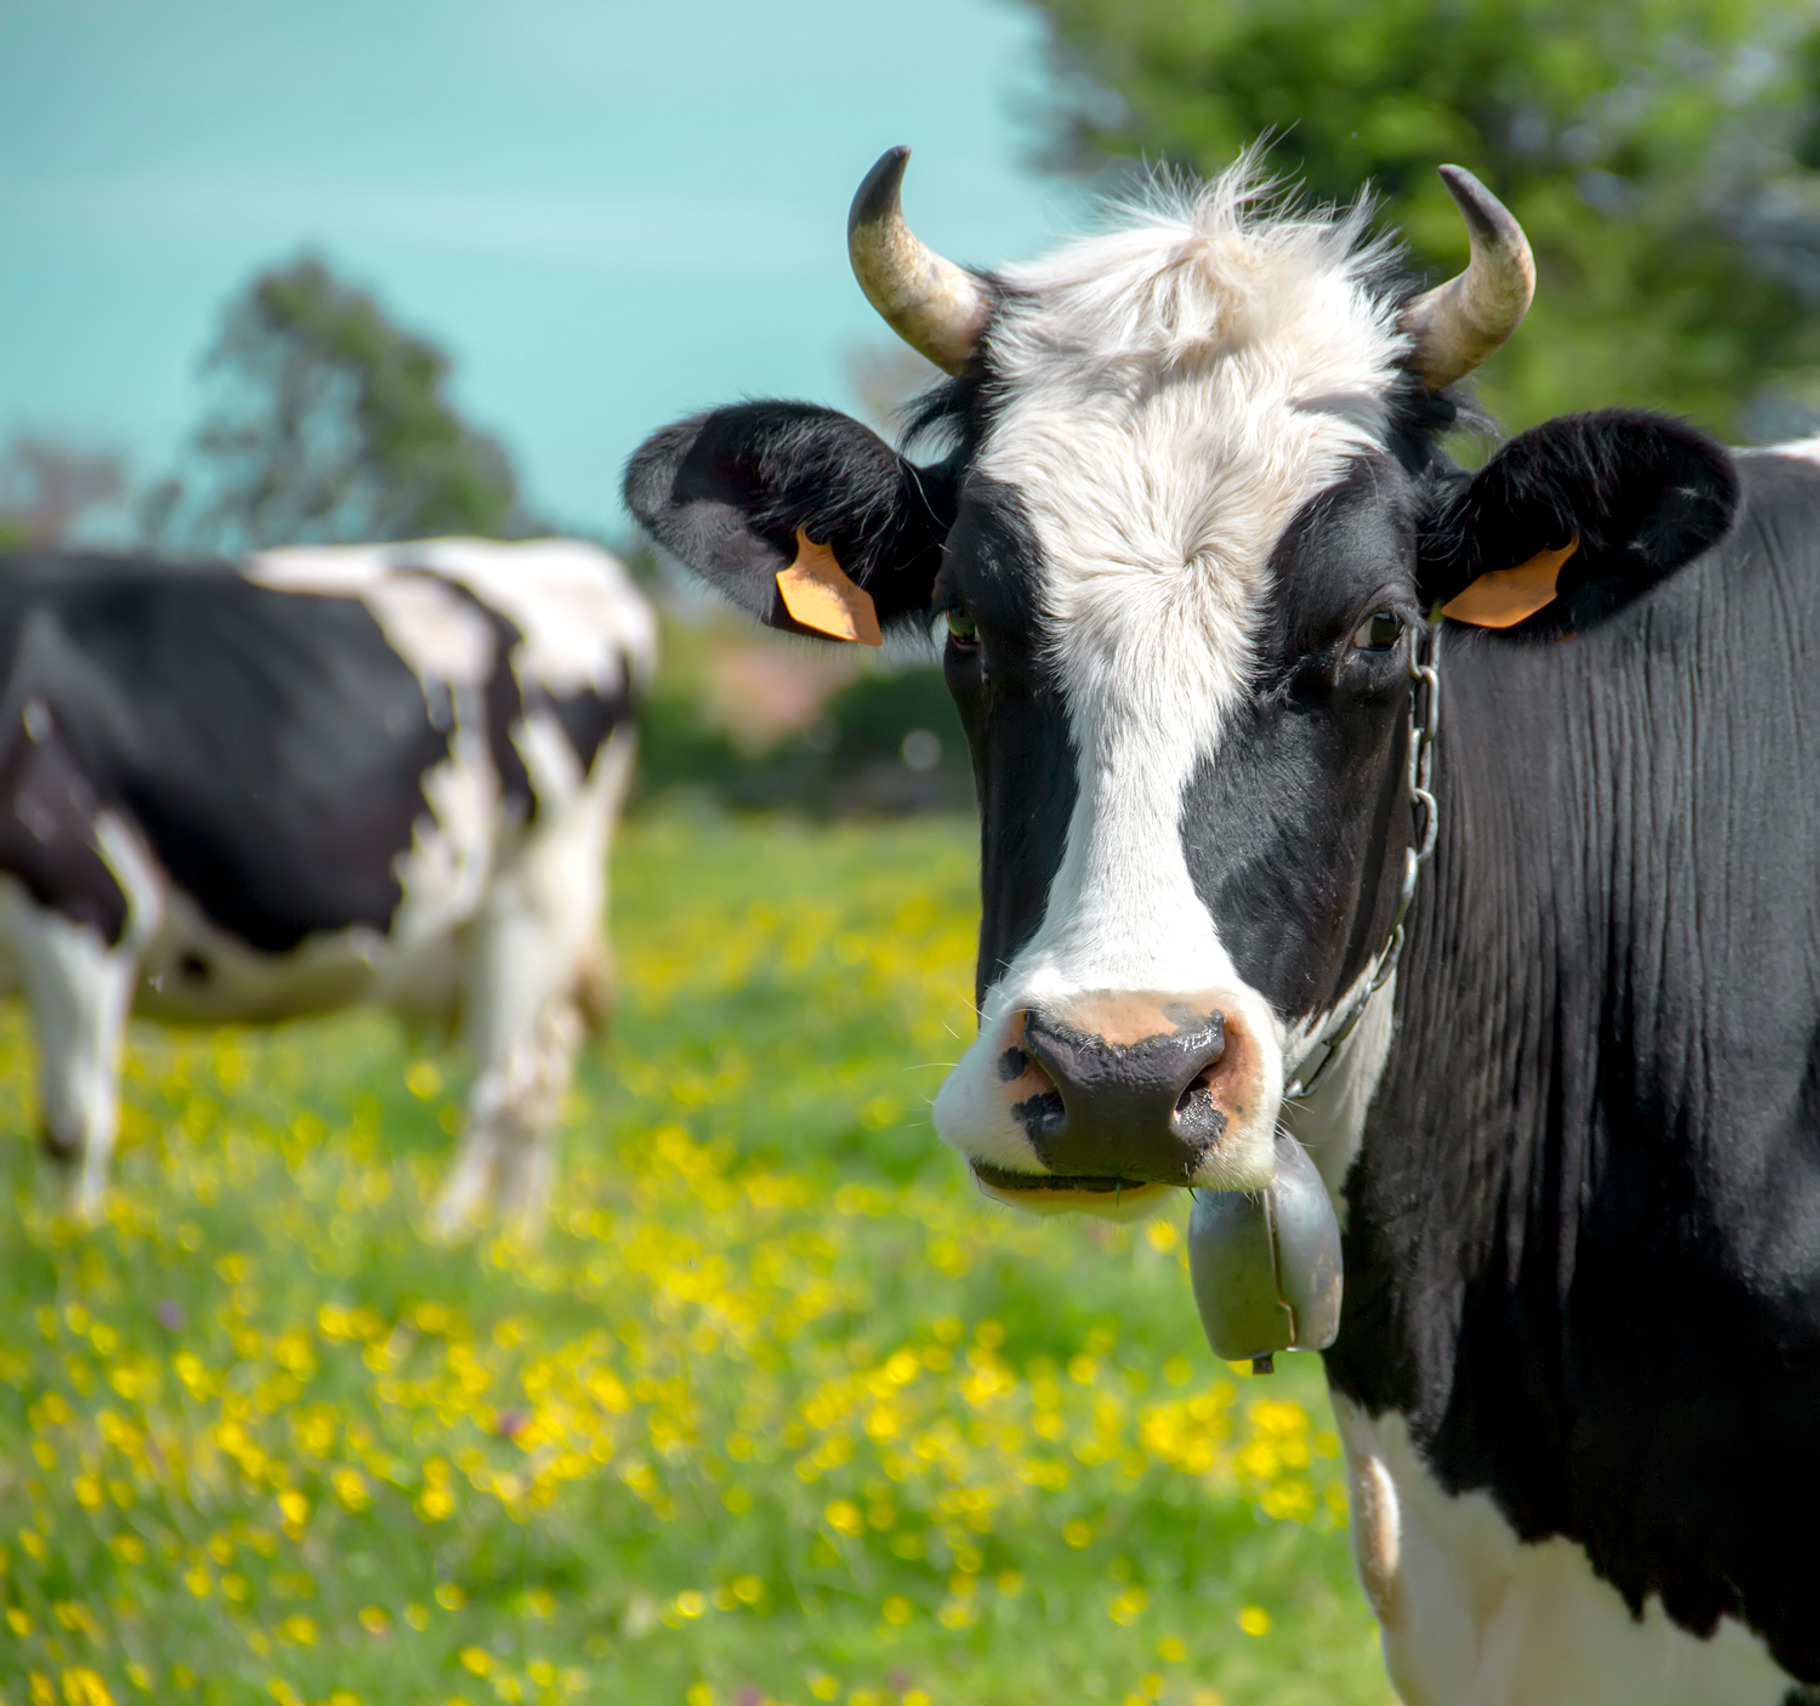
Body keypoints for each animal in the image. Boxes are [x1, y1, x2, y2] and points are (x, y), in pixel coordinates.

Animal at [0, 536, 655, 1238]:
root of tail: (572, 562)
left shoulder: (82, 902)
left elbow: (73, 1125)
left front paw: (75, 1248)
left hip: (530, 899)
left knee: (506, 1081)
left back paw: (446, 1234)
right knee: (544, 1071)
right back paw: (512, 1241)